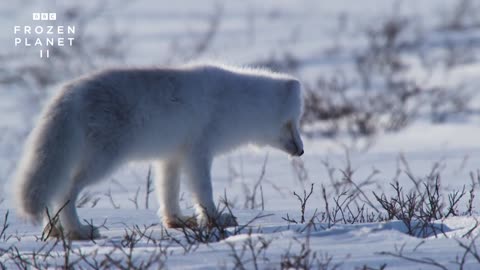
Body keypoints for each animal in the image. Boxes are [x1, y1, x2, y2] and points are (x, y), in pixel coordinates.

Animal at [14, 62, 304, 238]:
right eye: (291, 123)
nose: (301, 151)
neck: (238, 103)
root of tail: (70, 92)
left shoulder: (171, 157)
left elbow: (168, 193)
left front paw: (176, 222)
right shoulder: (198, 153)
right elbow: (204, 193)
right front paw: (215, 220)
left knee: (54, 191)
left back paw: (54, 232)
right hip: (102, 161)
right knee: (65, 192)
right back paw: (79, 232)